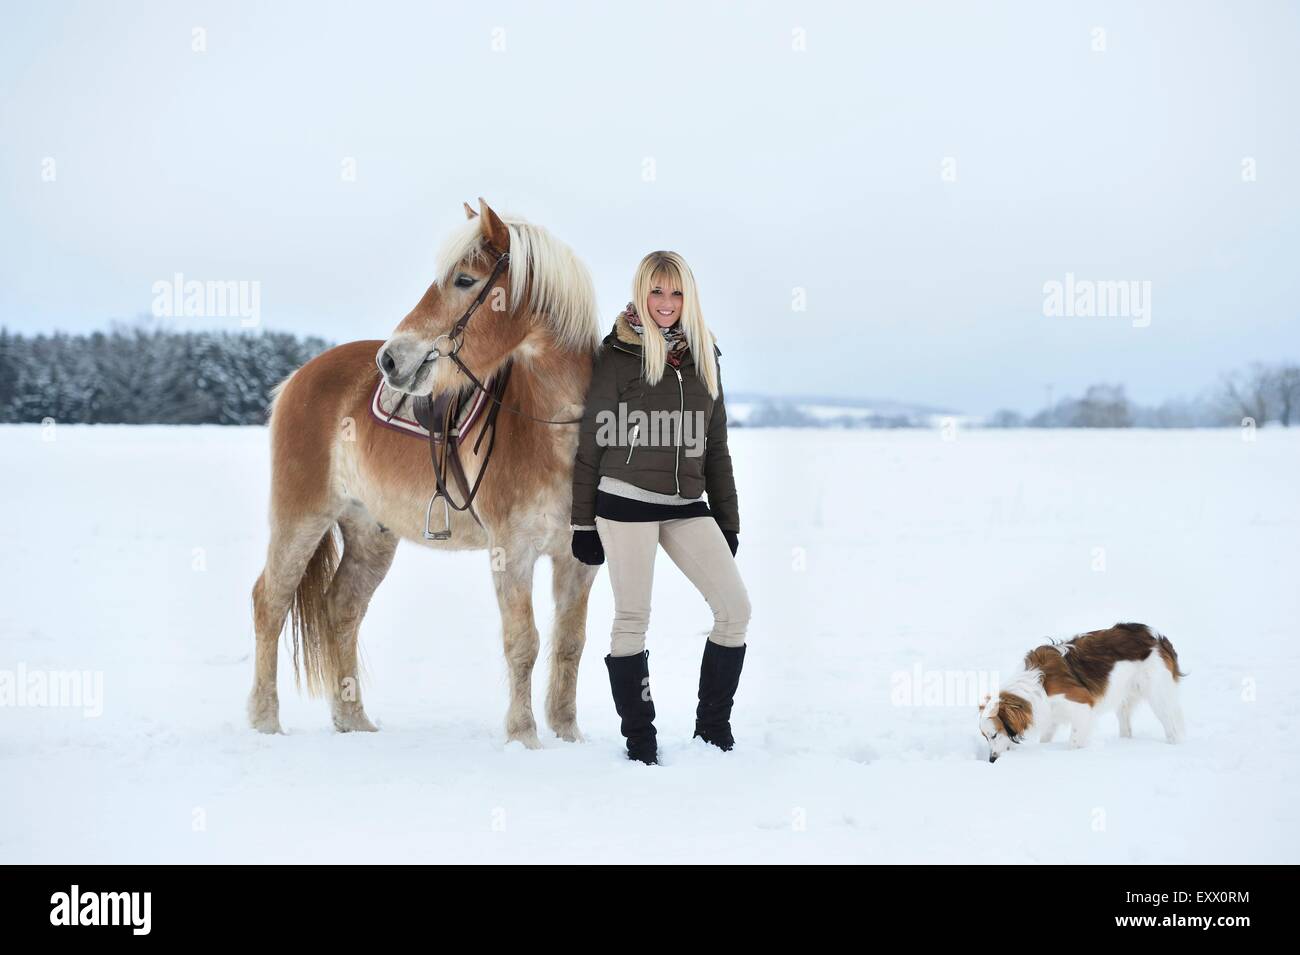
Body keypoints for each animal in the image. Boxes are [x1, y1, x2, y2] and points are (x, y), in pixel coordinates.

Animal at [245, 197, 600, 748]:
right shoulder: (512, 550)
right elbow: (524, 641)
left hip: (370, 533)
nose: (390, 360)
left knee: (341, 608)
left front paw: (567, 735)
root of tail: (299, 377)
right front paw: (523, 737)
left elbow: (570, 643)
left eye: (464, 280)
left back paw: (353, 721)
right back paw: (265, 720)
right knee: (270, 602)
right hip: (300, 517)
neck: (552, 427)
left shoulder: (578, 558)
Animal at [977, 623, 1185, 764]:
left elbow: (1074, 742)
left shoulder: (1082, 707)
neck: (1038, 686)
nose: (992, 760)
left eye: (994, 735)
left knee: (1173, 730)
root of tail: (1158, 637)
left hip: (1158, 697)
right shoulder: (1050, 716)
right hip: (1124, 701)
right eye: (986, 737)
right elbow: (1045, 738)